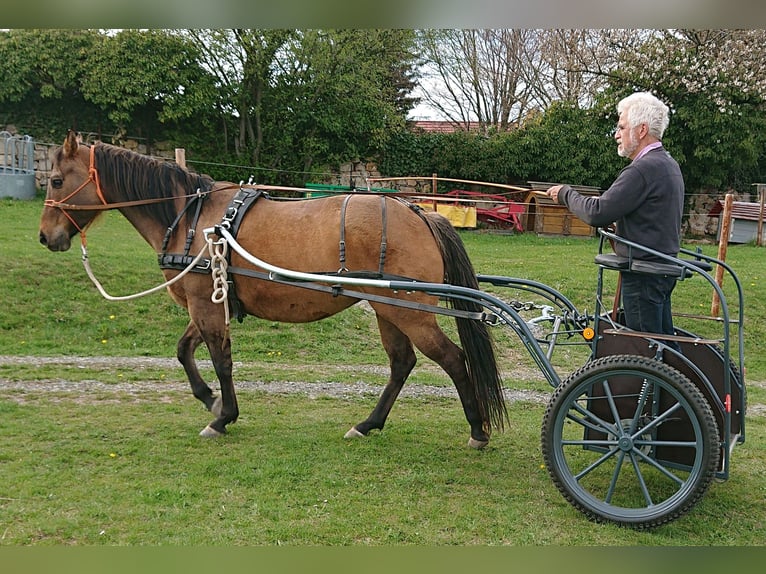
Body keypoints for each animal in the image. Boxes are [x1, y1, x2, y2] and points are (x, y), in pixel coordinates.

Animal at [40, 132, 510, 450]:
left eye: (57, 180)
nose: (46, 236)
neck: (192, 217)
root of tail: (421, 214)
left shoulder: (205, 307)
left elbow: (221, 361)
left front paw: (222, 416)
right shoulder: (208, 304)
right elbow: (184, 351)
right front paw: (210, 401)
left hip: (410, 312)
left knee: (453, 359)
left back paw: (477, 431)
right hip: (388, 310)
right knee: (401, 364)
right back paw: (368, 424)